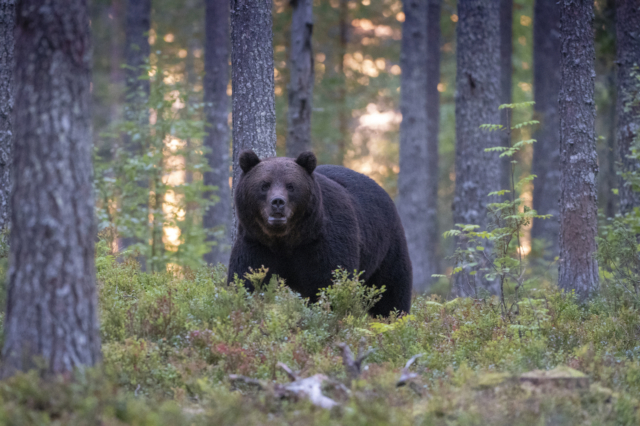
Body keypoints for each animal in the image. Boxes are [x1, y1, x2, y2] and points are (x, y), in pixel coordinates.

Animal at [228, 150, 412, 316]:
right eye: (264, 185)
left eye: (291, 186)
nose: (278, 202)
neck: (287, 239)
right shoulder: (257, 243)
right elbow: (247, 278)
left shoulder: (323, 242)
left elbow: (328, 282)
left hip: (386, 245)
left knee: (391, 288)